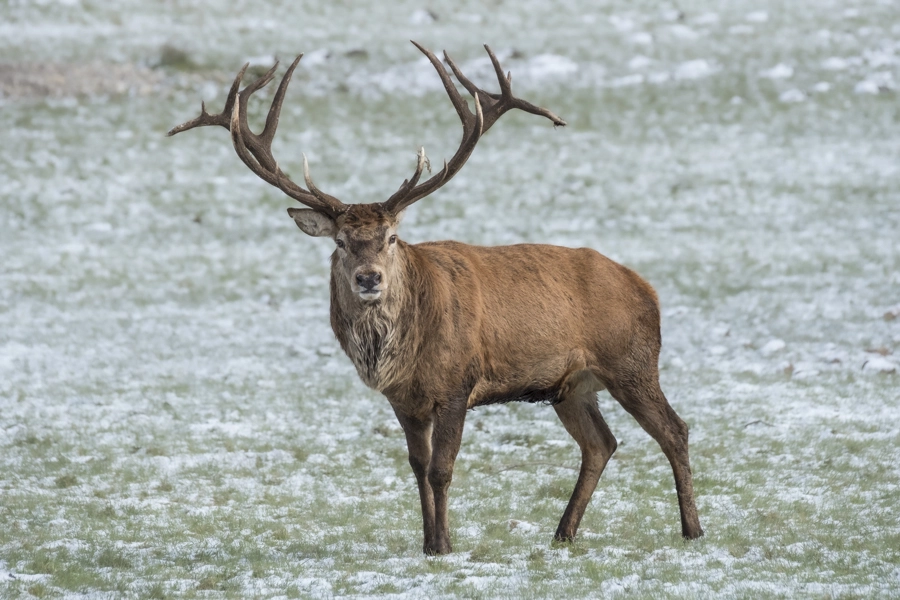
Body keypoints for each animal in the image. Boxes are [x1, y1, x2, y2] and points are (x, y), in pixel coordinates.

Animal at [168, 42, 704, 555]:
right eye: (340, 242)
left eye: (390, 238)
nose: (368, 278)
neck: (403, 352)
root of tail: (645, 288)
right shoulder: (403, 400)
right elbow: (416, 466)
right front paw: (428, 543)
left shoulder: (457, 383)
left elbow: (442, 469)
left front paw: (445, 545)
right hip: (570, 386)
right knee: (601, 444)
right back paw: (563, 533)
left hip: (632, 360)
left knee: (674, 429)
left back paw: (692, 529)